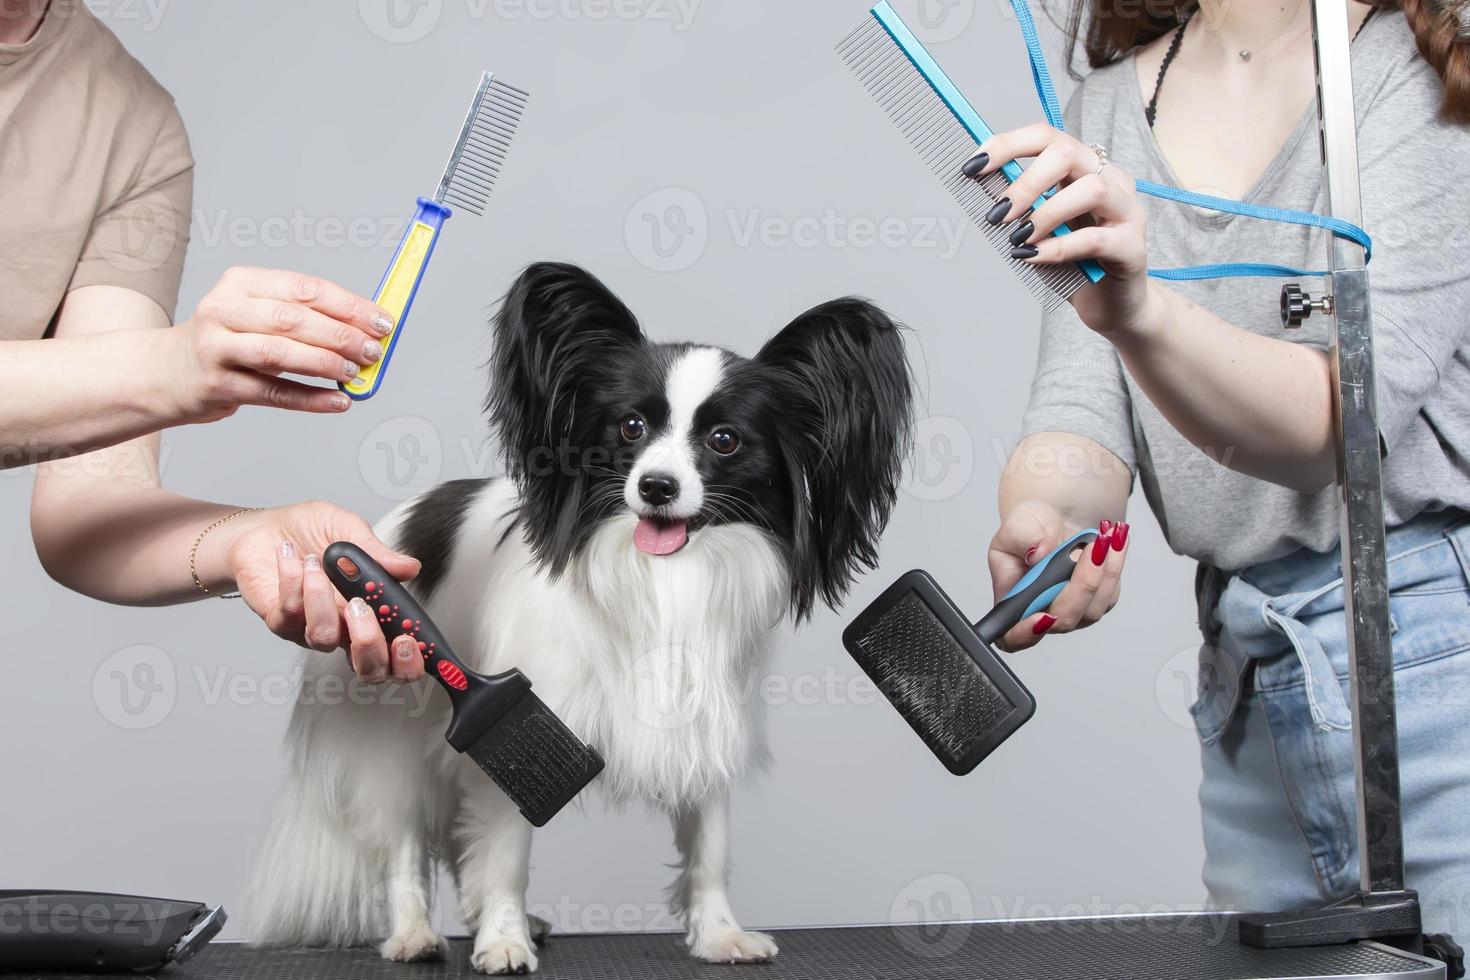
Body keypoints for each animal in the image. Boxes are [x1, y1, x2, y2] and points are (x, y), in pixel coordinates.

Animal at [251, 260, 911, 975]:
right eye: (631, 428)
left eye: (724, 441)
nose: (655, 487)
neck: (663, 579)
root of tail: (391, 522)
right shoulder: (526, 727)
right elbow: (505, 848)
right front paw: (503, 941)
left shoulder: (704, 719)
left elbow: (709, 847)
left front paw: (720, 936)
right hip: (394, 736)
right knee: (407, 840)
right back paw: (415, 935)